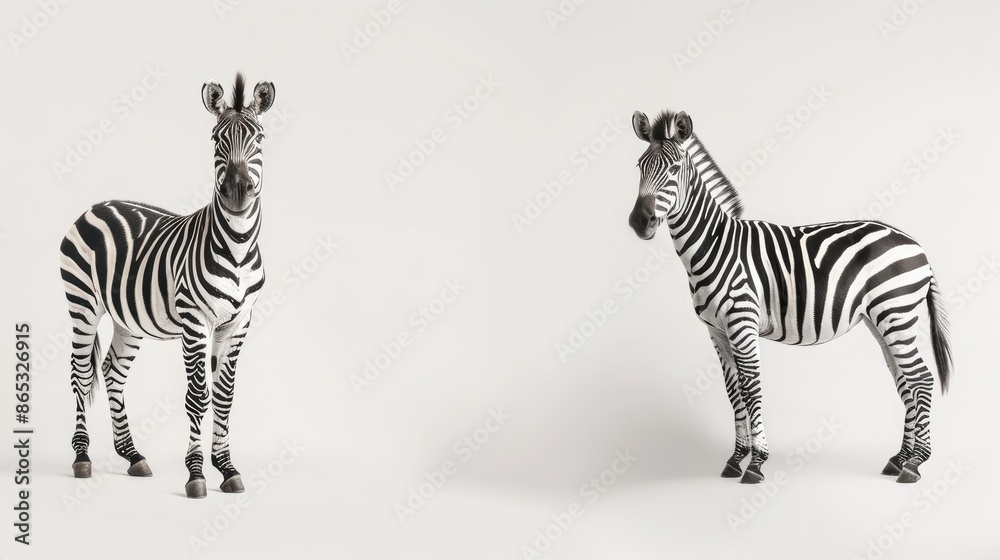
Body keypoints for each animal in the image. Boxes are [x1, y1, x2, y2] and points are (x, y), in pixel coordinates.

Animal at [59, 73, 275, 498]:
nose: (237, 191)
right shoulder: (195, 322)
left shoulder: (239, 323)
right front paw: (196, 475)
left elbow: (224, 397)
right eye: (215, 138)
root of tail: (97, 205)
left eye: (259, 137)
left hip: (127, 319)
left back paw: (132, 456)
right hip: (83, 304)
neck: (238, 247)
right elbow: (197, 397)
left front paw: (227, 468)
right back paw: (82, 458)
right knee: (81, 373)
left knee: (111, 372)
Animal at [627, 109, 952, 484]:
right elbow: (733, 392)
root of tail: (916, 244)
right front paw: (735, 459)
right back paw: (899, 459)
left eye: (675, 168)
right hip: (881, 321)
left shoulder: (742, 325)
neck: (715, 246)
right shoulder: (716, 331)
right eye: (639, 166)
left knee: (922, 379)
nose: (640, 221)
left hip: (896, 314)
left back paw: (915, 465)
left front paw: (756, 463)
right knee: (905, 382)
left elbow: (751, 388)